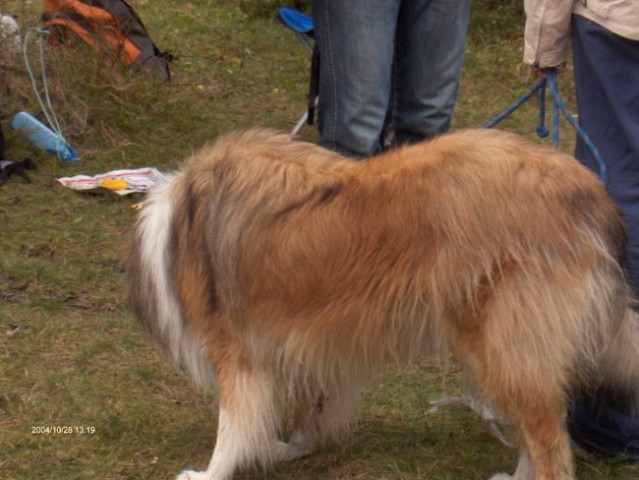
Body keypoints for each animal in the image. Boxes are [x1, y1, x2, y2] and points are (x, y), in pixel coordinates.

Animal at [126, 128, 639, 480]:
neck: (176, 226)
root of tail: (590, 194)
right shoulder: (311, 345)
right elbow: (311, 407)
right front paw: (290, 447)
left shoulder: (235, 351)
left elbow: (231, 427)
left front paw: (209, 472)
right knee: (540, 429)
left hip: (503, 341)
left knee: (549, 437)